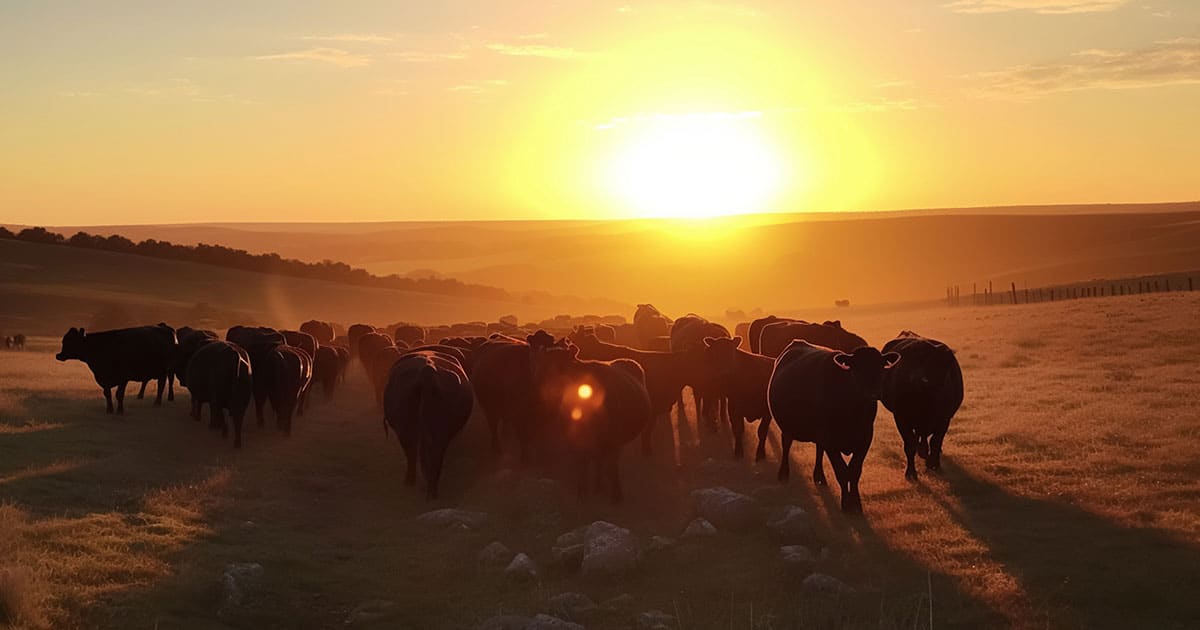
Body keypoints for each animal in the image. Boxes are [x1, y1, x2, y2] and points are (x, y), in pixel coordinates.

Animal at [386, 348, 475, 496]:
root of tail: (428, 371)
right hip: (439, 432)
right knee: (435, 455)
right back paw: (431, 490)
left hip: (406, 429)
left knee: (412, 453)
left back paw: (412, 482)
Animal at [530, 336, 652, 504]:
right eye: (541, 367)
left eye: (563, 367)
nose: (552, 392)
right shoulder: (577, 441)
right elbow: (582, 464)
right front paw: (582, 492)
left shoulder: (613, 441)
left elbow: (611, 466)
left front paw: (616, 495)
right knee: (597, 460)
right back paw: (598, 485)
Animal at [772, 338, 897, 511]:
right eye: (856, 369)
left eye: (881, 366)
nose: (873, 393)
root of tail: (798, 342)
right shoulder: (830, 440)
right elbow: (842, 471)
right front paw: (846, 504)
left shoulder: (865, 438)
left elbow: (854, 471)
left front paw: (856, 504)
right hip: (788, 426)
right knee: (786, 443)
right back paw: (783, 474)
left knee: (818, 450)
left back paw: (820, 477)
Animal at [878, 331, 960, 480]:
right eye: (909, 363)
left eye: (933, 362)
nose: (919, 379)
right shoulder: (901, 417)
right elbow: (910, 444)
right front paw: (911, 472)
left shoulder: (944, 418)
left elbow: (936, 441)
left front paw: (933, 464)